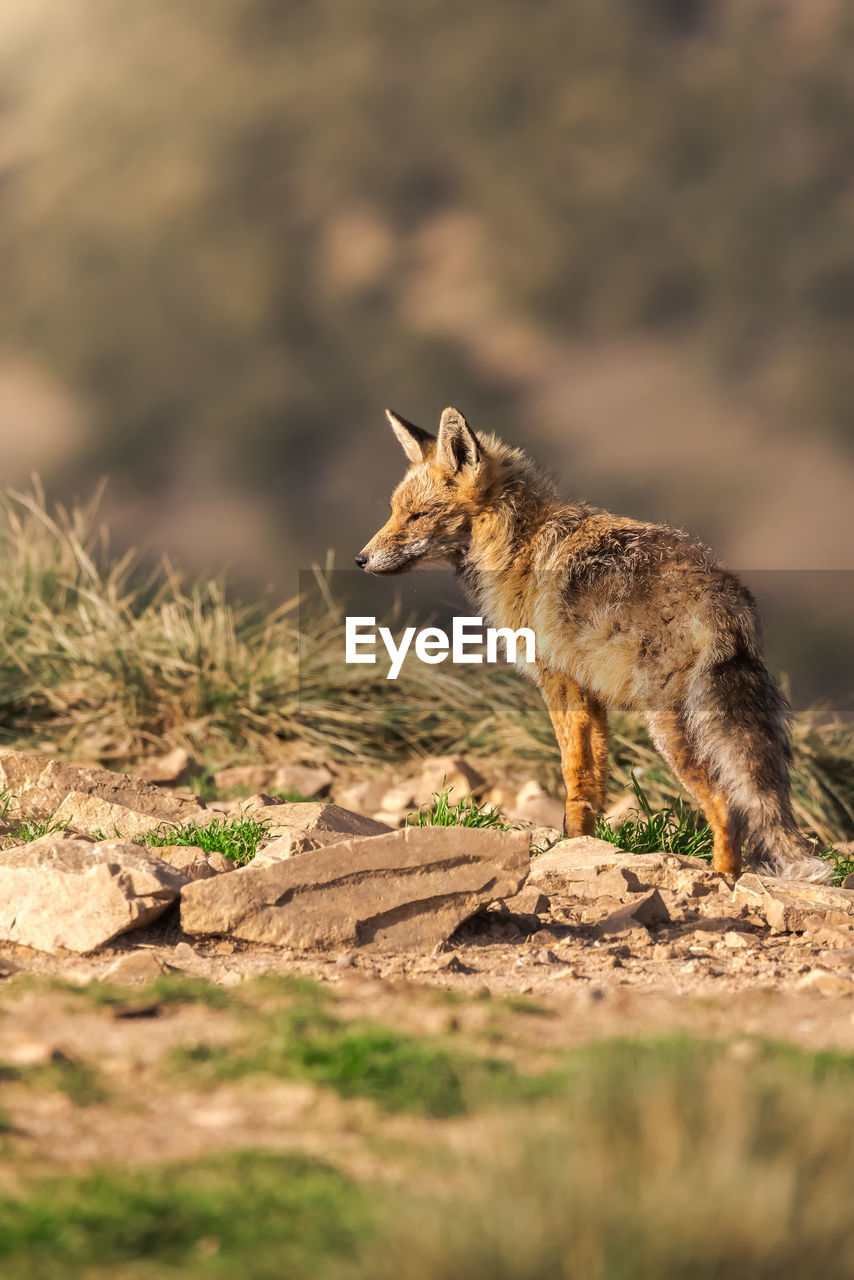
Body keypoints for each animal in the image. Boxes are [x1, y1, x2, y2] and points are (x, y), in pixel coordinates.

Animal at [353, 407, 829, 880]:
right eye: (393, 512)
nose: (360, 559)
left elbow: (572, 773)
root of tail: (724, 602)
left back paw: (724, 879)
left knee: (728, 806)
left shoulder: (559, 683)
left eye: (417, 516)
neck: (518, 545)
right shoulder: (589, 695)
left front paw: (565, 849)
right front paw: (585, 845)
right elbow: (592, 783)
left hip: (671, 729)